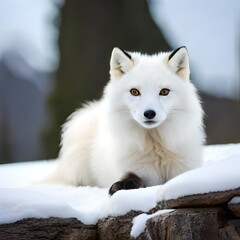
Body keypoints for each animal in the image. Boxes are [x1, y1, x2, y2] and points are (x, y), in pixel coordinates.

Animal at [48, 46, 204, 194]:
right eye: (134, 92)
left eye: (164, 92)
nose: (149, 113)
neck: (156, 147)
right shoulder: (139, 171)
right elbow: (131, 179)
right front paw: (122, 186)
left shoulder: (185, 169)